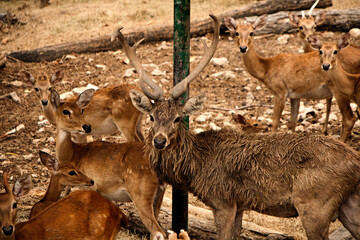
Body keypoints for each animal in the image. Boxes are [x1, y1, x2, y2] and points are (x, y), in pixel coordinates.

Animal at [49, 88, 167, 240]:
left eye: (81, 110)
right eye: (66, 111)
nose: (86, 126)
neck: (74, 155)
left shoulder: (91, 187)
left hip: (141, 194)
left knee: (158, 231)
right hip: (158, 196)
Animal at [225, 14, 358, 142]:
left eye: (252, 32)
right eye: (236, 32)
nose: (243, 48)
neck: (266, 68)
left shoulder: (280, 92)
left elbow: (275, 122)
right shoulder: (295, 96)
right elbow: (293, 122)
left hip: (339, 90)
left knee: (349, 118)